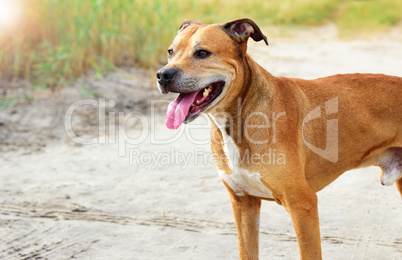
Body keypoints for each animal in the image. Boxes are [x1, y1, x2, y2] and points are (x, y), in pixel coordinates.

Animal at [155, 17, 400, 258]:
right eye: (170, 52)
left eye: (202, 53)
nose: (163, 75)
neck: (238, 120)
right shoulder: (244, 204)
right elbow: (247, 251)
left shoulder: (303, 204)